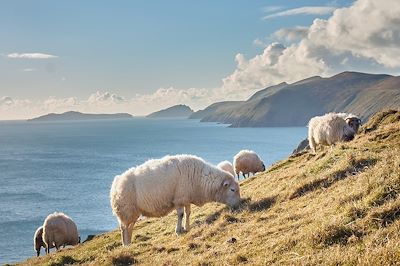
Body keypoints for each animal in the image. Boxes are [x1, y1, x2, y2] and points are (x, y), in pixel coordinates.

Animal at [109, 155, 241, 246]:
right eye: (232, 190)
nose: (240, 204)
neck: (200, 180)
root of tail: (116, 183)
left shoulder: (186, 198)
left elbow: (188, 213)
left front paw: (187, 227)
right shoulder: (179, 199)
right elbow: (181, 214)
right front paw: (178, 231)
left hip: (132, 212)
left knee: (129, 227)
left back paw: (129, 243)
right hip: (126, 210)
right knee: (123, 228)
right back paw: (125, 245)